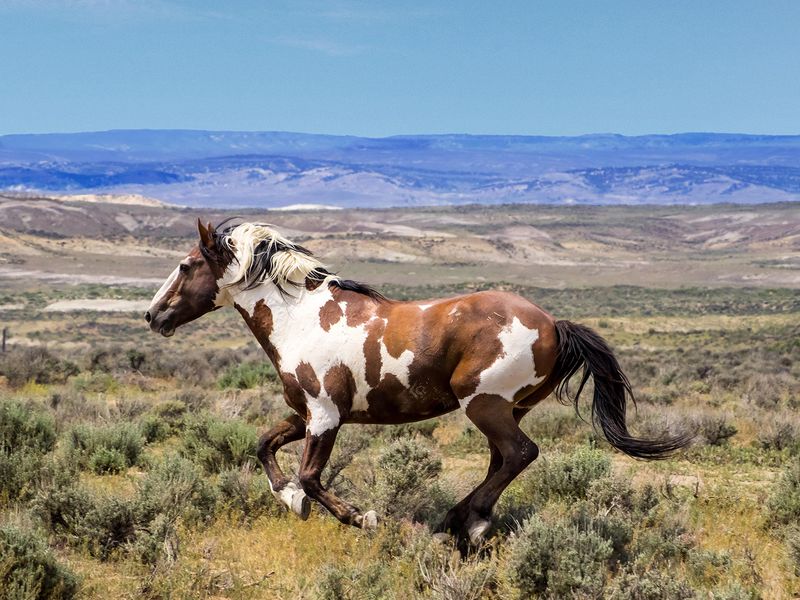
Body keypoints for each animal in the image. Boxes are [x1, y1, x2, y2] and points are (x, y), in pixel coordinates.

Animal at [147, 219, 692, 544]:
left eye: (186, 266)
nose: (153, 316)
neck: (300, 320)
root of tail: (553, 324)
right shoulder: (304, 413)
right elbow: (264, 447)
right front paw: (291, 501)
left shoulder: (325, 417)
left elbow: (311, 476)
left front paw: (361, 517)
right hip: (507, 409)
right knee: (503, 459)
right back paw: (464, 521)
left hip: (484, 404)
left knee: (519, 454)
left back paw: (466, 522)